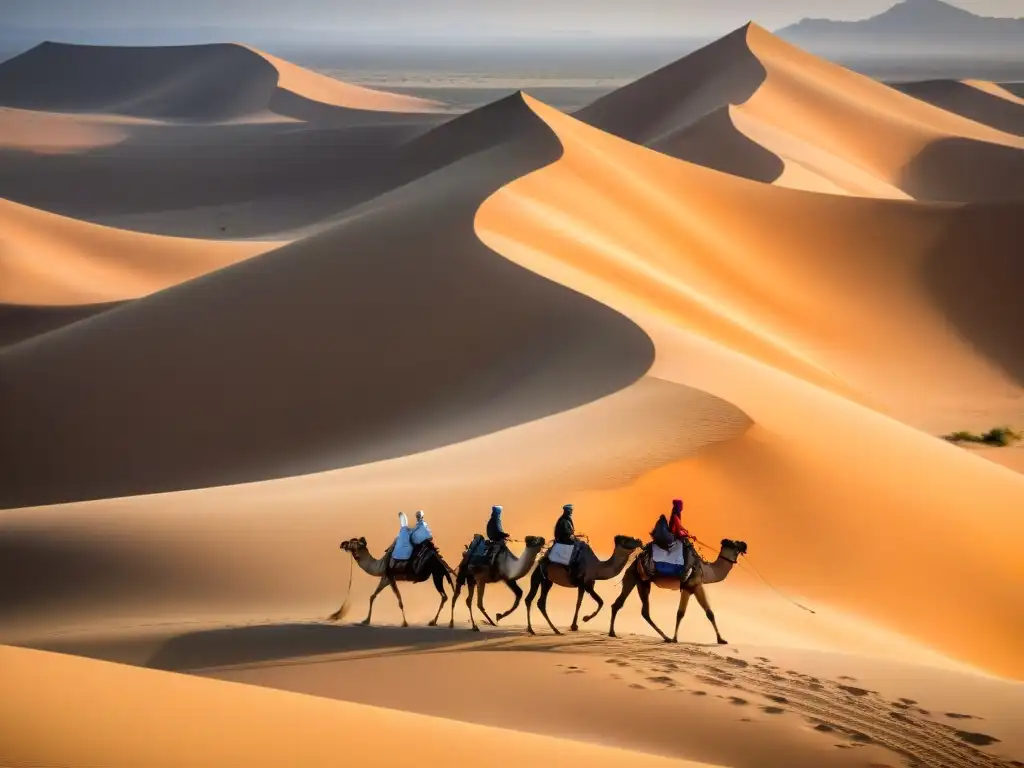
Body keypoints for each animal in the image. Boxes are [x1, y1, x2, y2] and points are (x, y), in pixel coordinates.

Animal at [606, 536, 745, 647]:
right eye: (735, 543)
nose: (744, 544)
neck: (706, 570)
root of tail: (635, 561)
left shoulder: (692, 588)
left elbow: (703, 613)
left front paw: (721, 640)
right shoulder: (692, 586)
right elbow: (685, 613)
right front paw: (675, 639)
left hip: (641, 582)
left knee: (636, 609)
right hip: (635, 577)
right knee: (629, 606)